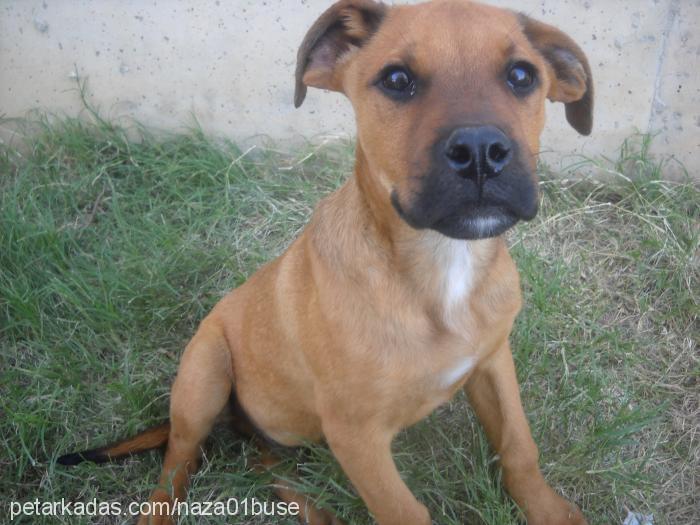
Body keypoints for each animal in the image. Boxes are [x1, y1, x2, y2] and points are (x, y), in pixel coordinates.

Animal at [61, 1, 596, 524]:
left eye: (522, 75)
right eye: (397, 79)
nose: (481, 151)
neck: (442, 266)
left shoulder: (492, 360)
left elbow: (519, 446)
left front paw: (551, 511)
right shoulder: (356, 435)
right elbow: (403, 511)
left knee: (268, 466)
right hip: (203, 373)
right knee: (176, 462)